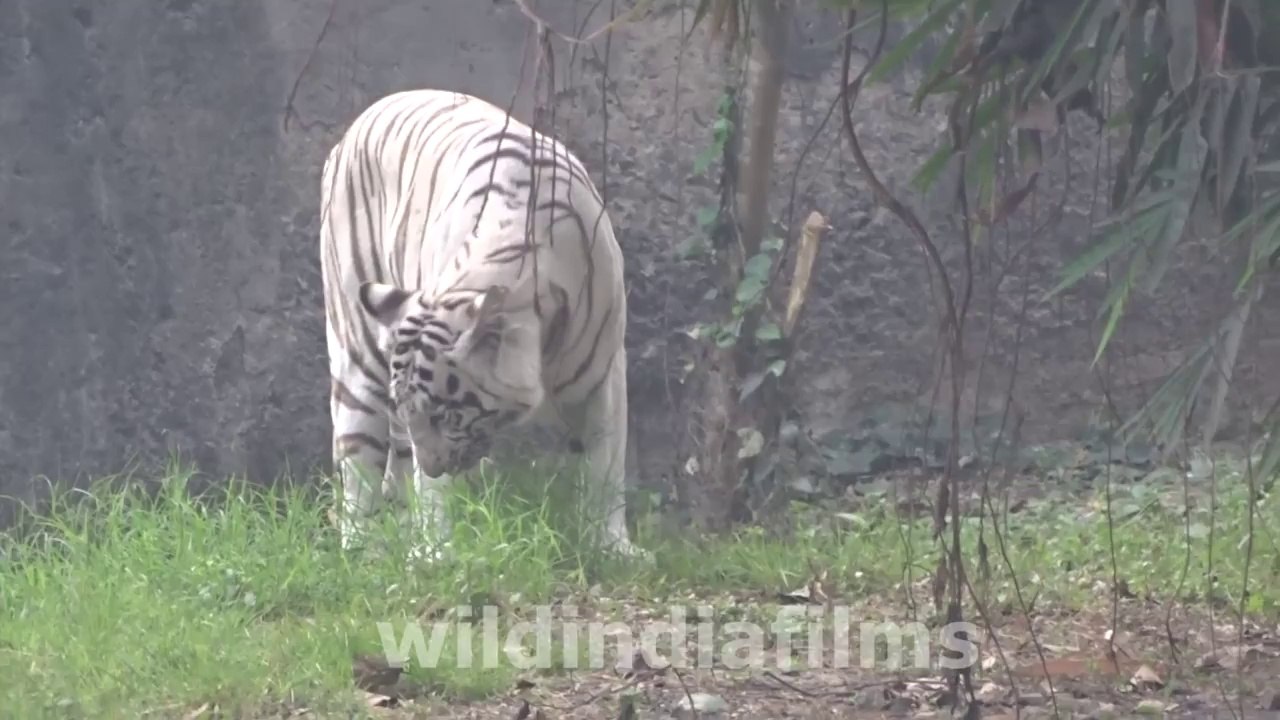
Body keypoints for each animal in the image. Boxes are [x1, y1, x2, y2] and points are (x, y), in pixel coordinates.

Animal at [318, 88, 644, 562]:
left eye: (446, 415)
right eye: (422, 412)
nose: (434, 464)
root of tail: (355, 127)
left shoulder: (605, 369)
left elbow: (607, 458)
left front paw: (611, 547)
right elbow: (432, 491)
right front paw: (436, 555)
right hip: (356, 357)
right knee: (359, 464)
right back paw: (363, 552)